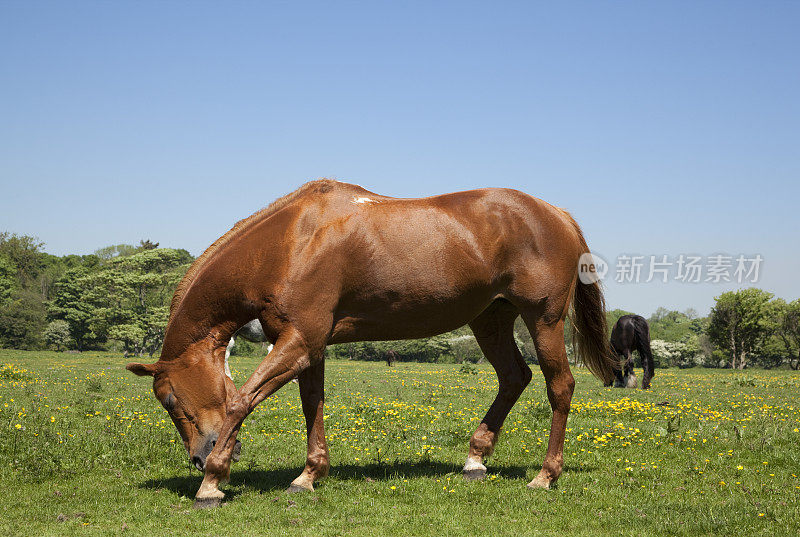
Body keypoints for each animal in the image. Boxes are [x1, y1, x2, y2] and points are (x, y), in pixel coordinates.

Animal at [125, 180, 616, 506]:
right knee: (515, 377)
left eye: (169, 399)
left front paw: (213, 481)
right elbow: (311, 404)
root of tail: (557, 213)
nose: (197, 456)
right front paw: (309, 475)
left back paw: (545, 476)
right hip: (490, 319)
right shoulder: (308, 345)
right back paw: (475, 458)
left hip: (543, 320)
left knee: (559, 387)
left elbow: (240, 401)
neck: (292, 242)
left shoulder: (298, 341)